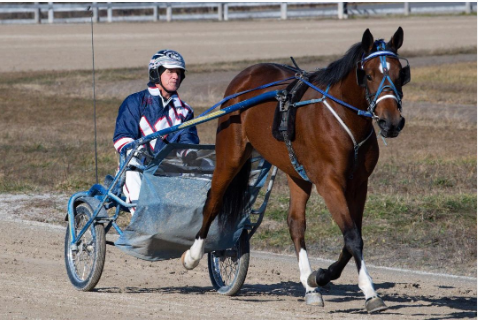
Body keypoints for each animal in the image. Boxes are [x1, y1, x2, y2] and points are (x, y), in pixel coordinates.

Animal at [181, 27, 408, 312]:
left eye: (401, 74)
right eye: (368, 75)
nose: (392, 122)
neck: (343, 118)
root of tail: (245, 75)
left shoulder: (359, 184)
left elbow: (352, 238)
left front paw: (319, 276)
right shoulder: (329, 183)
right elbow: (352, 236)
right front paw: (369, 291)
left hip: (296, 173)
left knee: (295, 223)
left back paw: (310, 287)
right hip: (230, 154)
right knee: (213, 201)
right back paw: (193, 255)